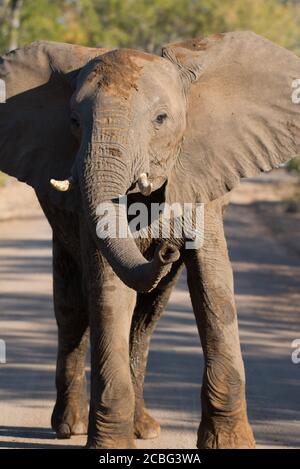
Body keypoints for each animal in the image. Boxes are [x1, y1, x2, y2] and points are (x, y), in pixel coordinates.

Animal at [0, 31, 300, 448]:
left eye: (161, 119)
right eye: (74, 122)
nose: (167, 249)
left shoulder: (201, 180)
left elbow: (214, 285)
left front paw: (231, 443)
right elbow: (110, 291)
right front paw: (109, 445)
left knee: (146, 317)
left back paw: (145, 428)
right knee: (73, 310)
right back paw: (70, 427)